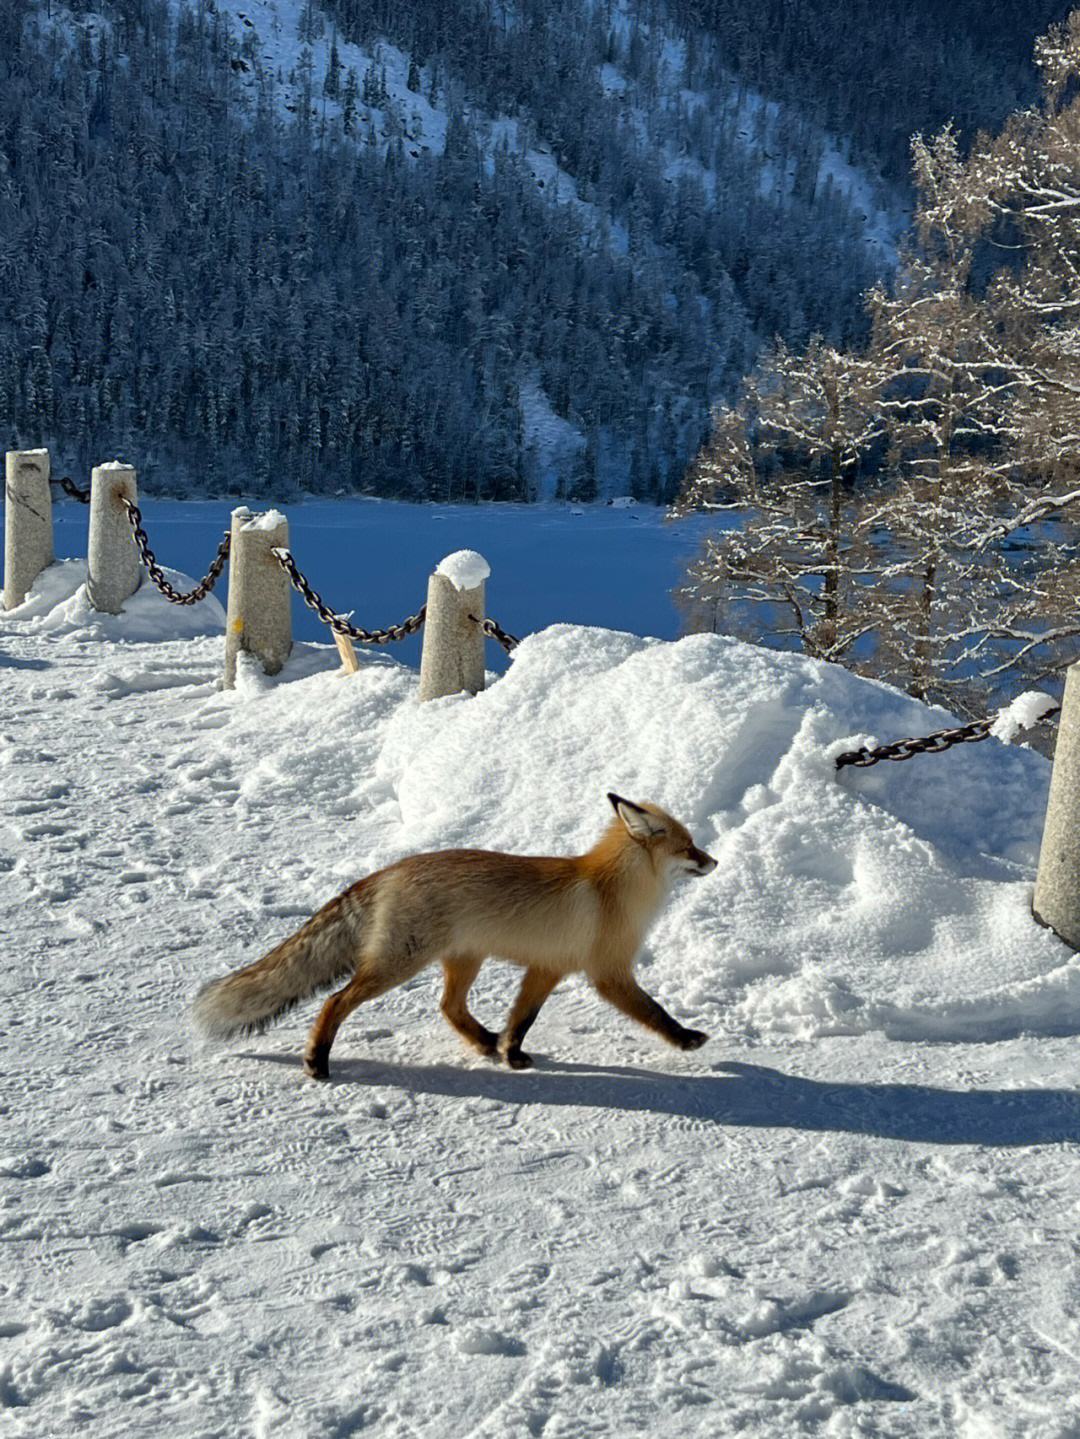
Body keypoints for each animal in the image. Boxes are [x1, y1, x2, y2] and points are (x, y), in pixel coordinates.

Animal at [194, 800, 719, 1082]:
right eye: (688, 847)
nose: (713, 861)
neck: (612, 890)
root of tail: (389, 870)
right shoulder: (608, 973)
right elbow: (654, 1012)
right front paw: (686, 1039)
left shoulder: (546, 968)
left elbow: (521, 1019)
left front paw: (510, 1053)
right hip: (398, 964)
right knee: (335, 1002)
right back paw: (316, 1061)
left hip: (465, 959)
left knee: (449, 1008)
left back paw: (486, 1042)